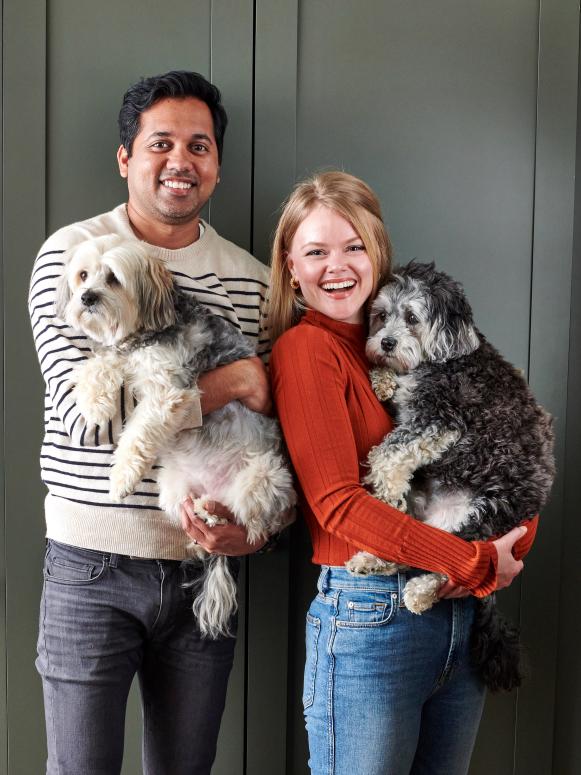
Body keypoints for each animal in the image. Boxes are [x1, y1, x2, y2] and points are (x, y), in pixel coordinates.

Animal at [57, 233, 296, 640]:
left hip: (263, 479)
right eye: (83, 275)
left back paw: (214, 517)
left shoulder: (167, 393)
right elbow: (99, 363)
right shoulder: (122, 357)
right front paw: (94, 402)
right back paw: (201, 518)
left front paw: (121, 478)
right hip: (172, 490)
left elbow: (137, 432)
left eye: (113, 278)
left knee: (252, 524)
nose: (86, 296)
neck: (142, 331)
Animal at [346, 260, 556, 692]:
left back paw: (421, 591)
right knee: (412, 549)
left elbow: (387, 454)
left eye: (412, 318)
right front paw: (382, 378)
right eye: (382, 315)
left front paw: (385, 489)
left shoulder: (440, 419)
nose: (385, 343)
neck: (444, 360)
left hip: (489, 511)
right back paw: (372, 559)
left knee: (456, 564)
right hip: (427, 512)